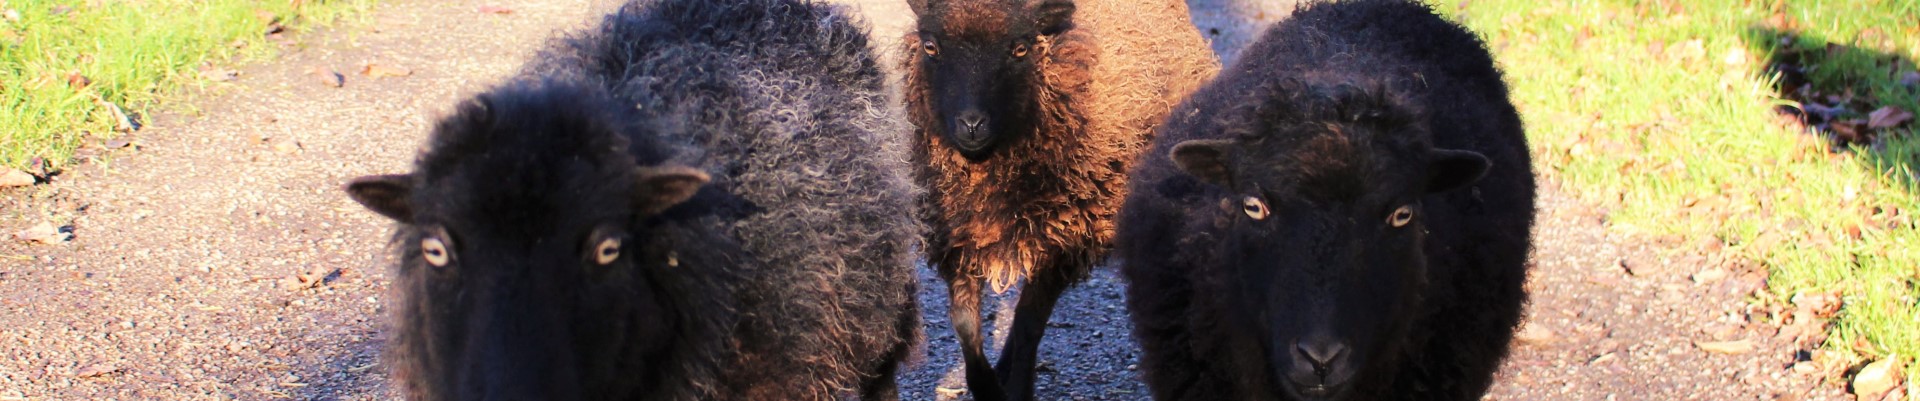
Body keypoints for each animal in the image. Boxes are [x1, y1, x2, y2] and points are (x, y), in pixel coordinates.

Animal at [894, 0, 1213, 399]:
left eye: (1020, 49)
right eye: (931, 46)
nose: (971, 124)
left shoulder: (1065, 240)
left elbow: (1029, 322)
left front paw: (1017, 389)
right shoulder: (956, 237)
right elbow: (965, 325)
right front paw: (987, 387)